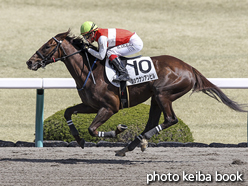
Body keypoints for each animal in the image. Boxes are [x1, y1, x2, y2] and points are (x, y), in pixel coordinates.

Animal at [26, 30, 246, 155]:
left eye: (48, 45)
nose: (30, 62)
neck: (90, 69)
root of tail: (189, 68)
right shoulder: (91, 105)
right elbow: (67, 113)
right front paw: (78, 139)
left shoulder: (110, 107)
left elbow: (92, 129)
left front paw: (117, 130)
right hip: (156, 98)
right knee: (154, 121)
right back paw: (131, 145)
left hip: (163, 94)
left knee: (170, 119)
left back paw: (139, 140)